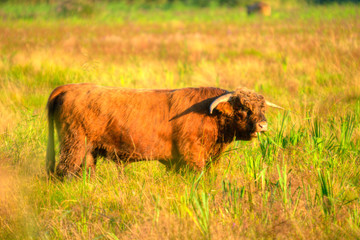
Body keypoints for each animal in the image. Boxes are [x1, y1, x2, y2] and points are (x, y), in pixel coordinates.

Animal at [45, 83, 282, 179]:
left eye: (262, 107)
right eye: (243, 108)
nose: (263, 125)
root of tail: (69, 87)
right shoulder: (191, 152)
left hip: (89, 148)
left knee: (86, 169)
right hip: (74, 142)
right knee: (66, 169)